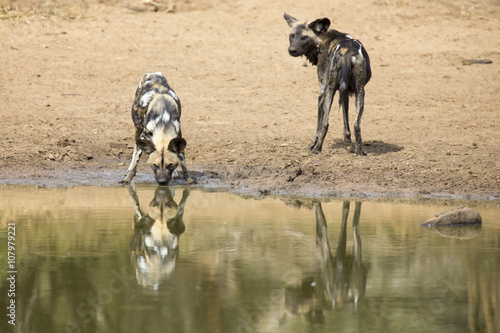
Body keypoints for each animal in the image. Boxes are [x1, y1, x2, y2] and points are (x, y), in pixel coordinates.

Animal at [284, 13, 370, 156]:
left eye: (304, 37)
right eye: (292, 35)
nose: (292, 50)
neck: (323, 39)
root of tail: (347, 52)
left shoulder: (322, 92)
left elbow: (318, 125)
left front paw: (312, 145)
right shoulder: (344, 91)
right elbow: (346, 124)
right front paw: (348, 145)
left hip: (329, 91)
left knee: (325, 123)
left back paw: (317, 149)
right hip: (360, 92)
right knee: (357, 124)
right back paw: (359, 151)